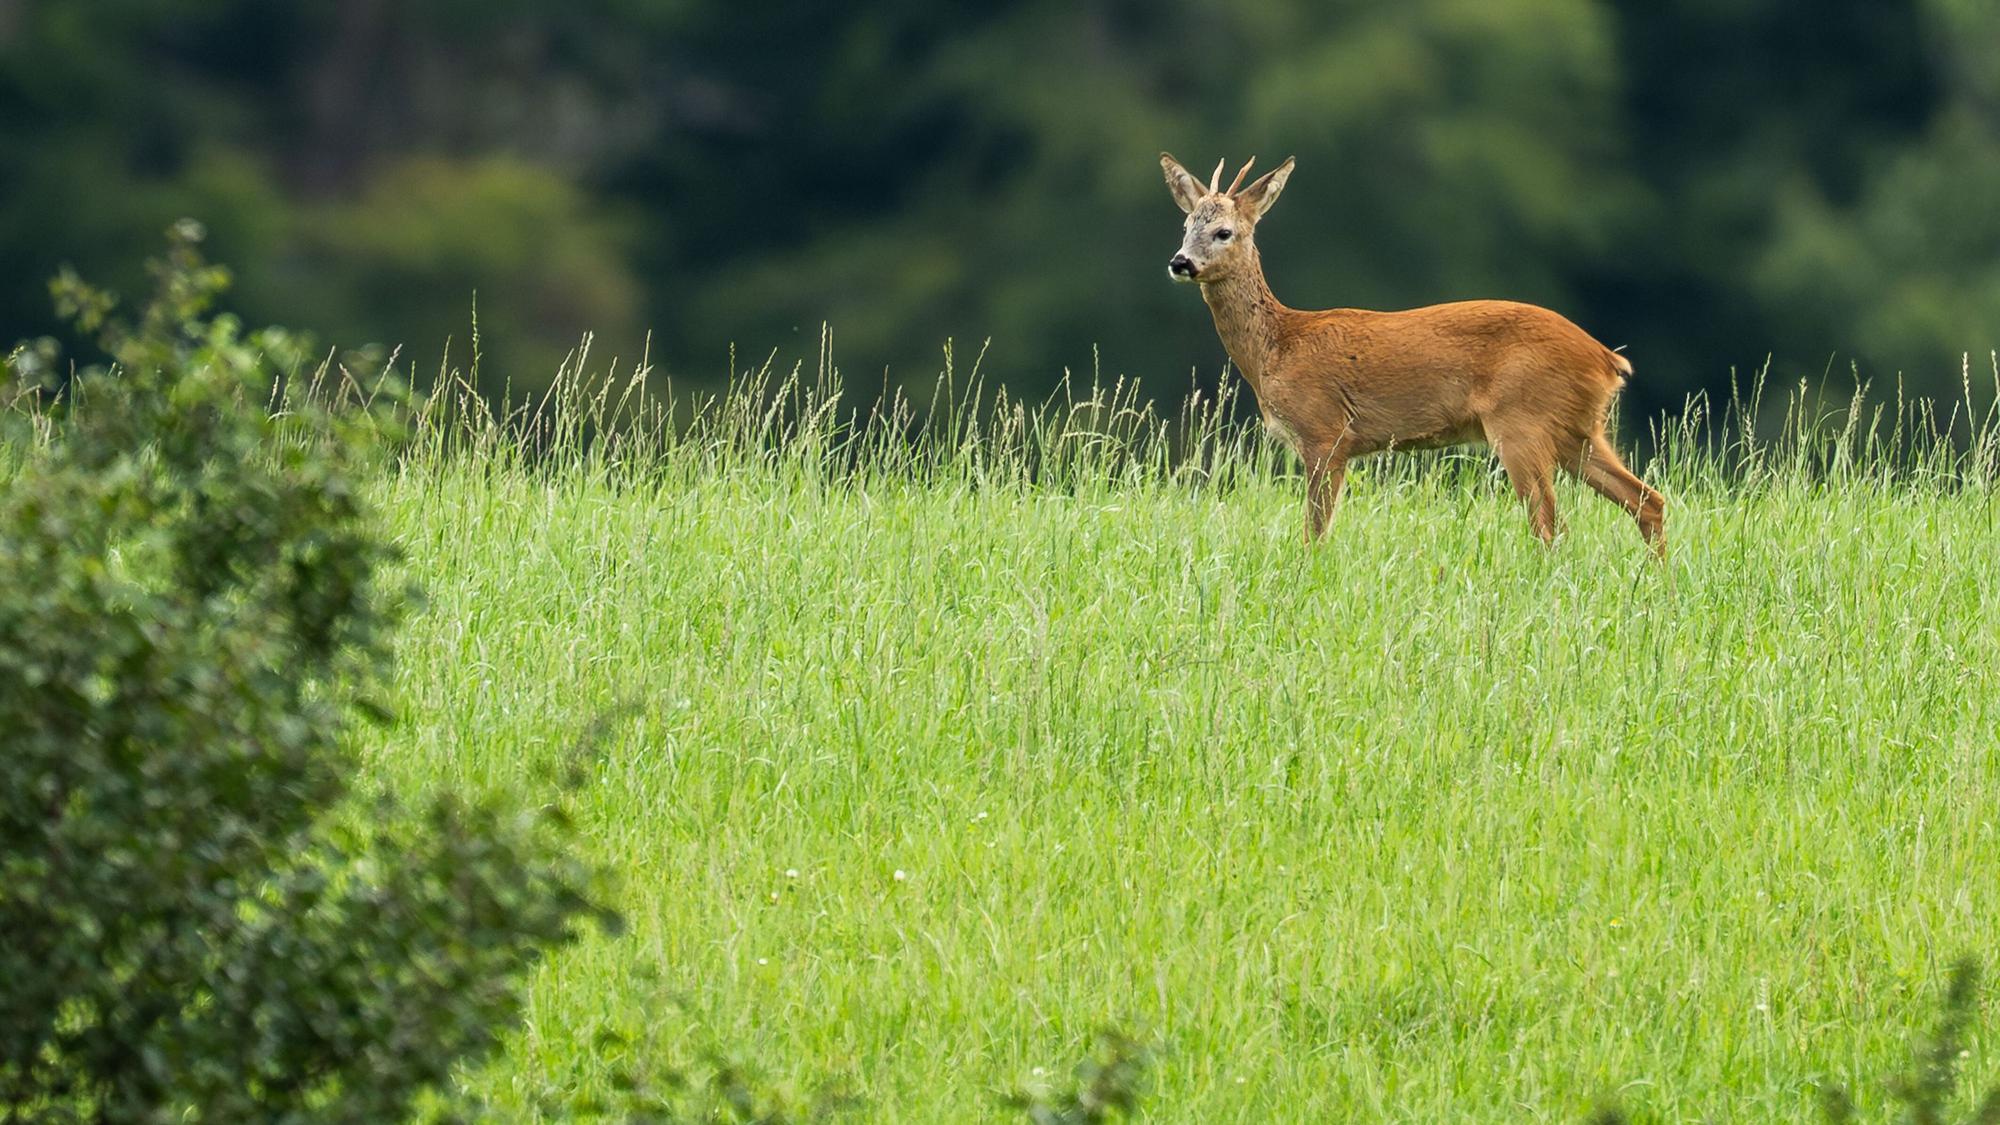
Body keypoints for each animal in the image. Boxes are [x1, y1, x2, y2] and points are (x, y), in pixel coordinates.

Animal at [1161, 153, 1666, 554]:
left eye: (1224, 232)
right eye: (1185, 227)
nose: (1180, 262)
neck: (1277, 348)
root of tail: (1607, 359)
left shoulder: (1325, 433)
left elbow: (1314, 534)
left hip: (1522, 422)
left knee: (1551, 526)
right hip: (1578, 430)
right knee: (1648, 501)